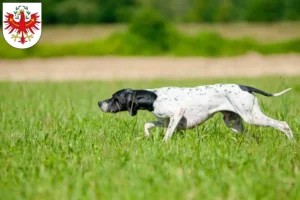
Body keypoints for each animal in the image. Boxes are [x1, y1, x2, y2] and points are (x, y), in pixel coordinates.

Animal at [98, 84, 292, 141]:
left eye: (114, 99)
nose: (99, 102)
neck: (153, 97)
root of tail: (245, 87)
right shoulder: (165, 120)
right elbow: (148, 124)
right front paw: (147, 135)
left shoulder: (177, 114)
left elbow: (167, 135)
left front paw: (163, 145)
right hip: (234, 123)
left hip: (252, 116)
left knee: (283, 125)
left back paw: (291, 142)